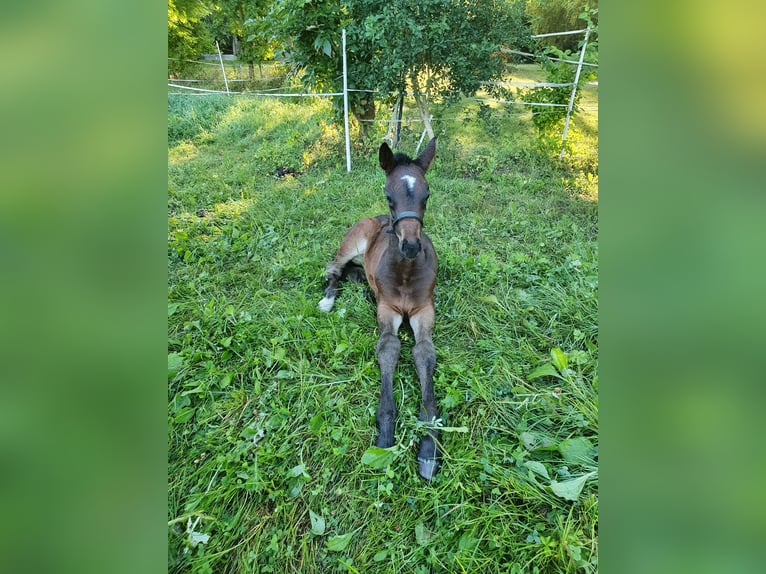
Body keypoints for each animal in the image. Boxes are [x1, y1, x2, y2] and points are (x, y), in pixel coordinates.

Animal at [318, 138, 441, 480]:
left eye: (426, 195)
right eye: (389, 196)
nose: (410, 245)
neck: (405, 273)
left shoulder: (424, 310)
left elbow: (424, 352)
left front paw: (428, 448)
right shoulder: (388, 309)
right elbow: (388, 346)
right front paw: (386, 434)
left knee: (353, 273)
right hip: (350, 244)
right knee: (335, 268)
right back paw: (328, 299)